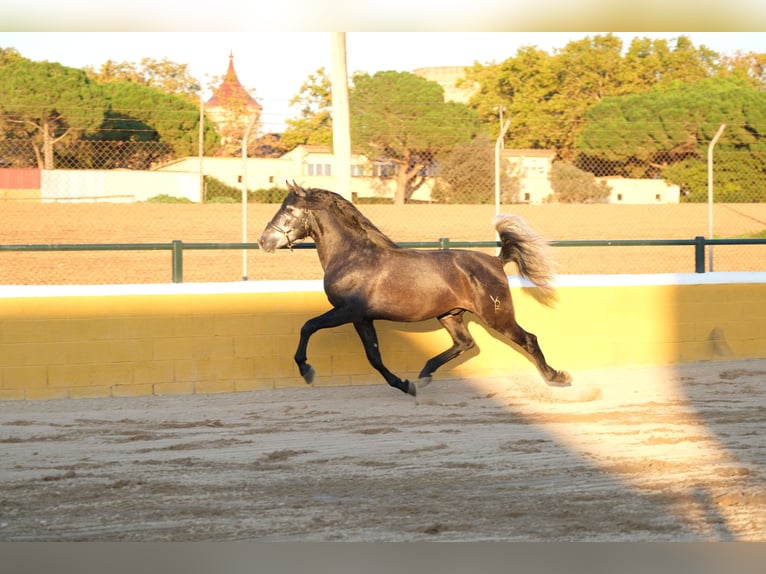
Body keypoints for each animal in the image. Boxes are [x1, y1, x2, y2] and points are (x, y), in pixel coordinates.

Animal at [256, 182, 568, 398]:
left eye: (290, 211)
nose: (263, 241)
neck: (352, 256)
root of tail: (496, 261)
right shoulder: (362, 318)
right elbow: (374, 357)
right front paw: (405, 385)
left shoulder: (347, 311)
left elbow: (308, 326)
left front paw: (306, 370)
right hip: (450, 314)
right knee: (465, 343)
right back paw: (425, 373)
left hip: (496, 316)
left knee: (528, 339)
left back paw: (557, 377)